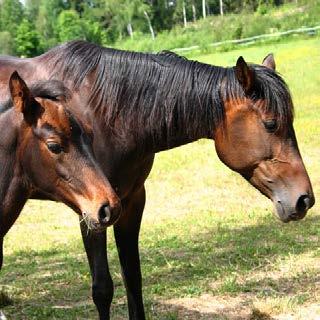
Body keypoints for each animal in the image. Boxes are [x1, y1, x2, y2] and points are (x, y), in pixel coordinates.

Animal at [0, 41, 316, 318]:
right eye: (271, 124)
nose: (304, 200)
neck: (103, 110)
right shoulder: (89, 212)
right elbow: (102, 288)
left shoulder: (129, 201)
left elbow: (133, 278)